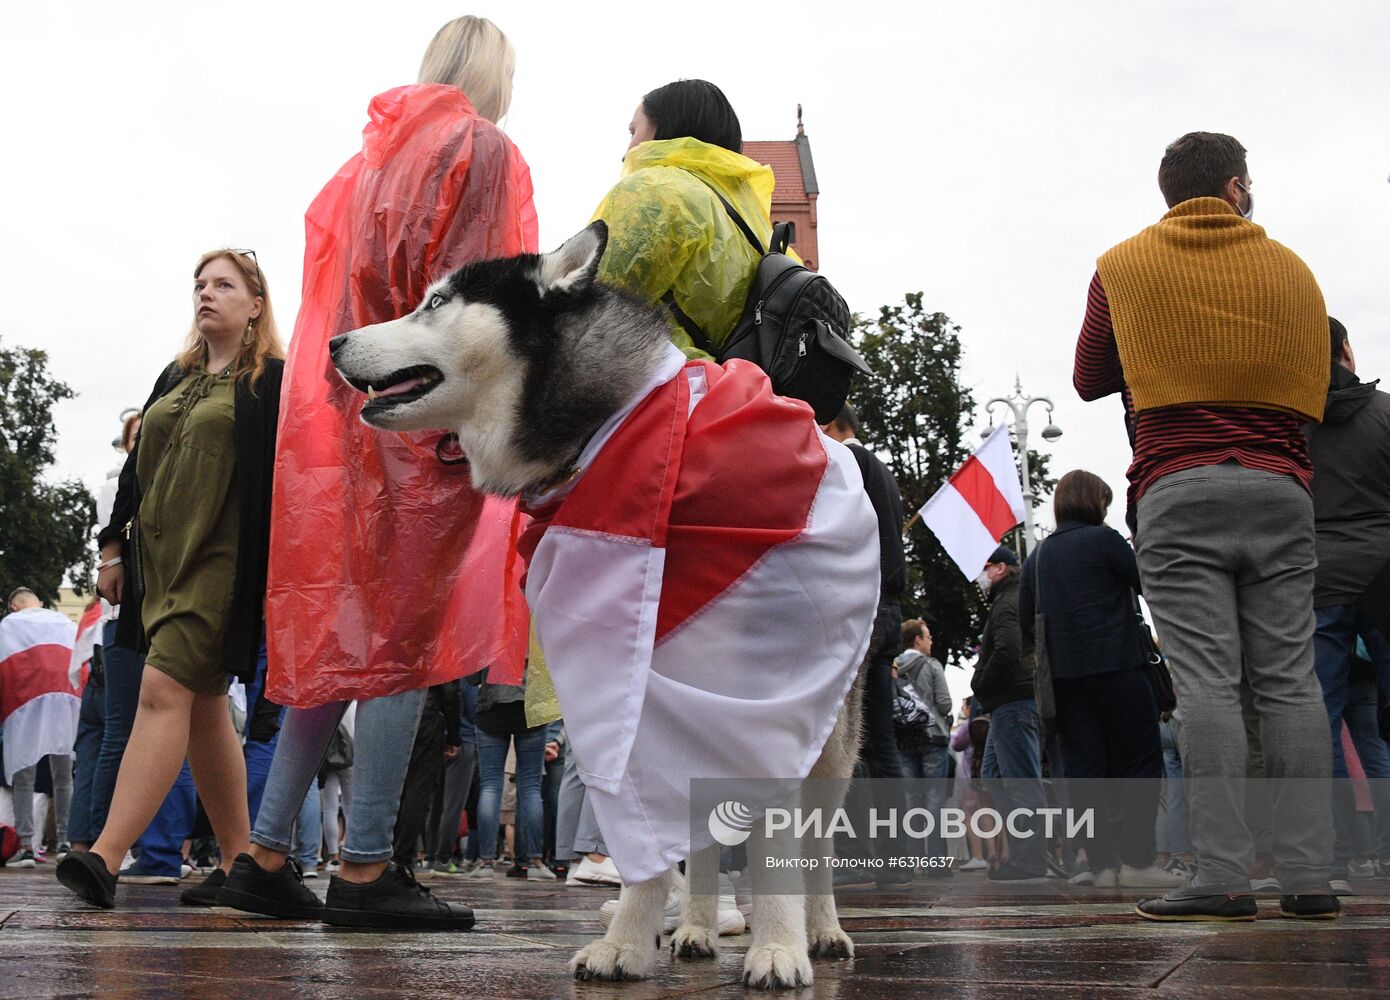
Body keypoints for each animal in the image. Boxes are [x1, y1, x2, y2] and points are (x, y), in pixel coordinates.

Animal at [328, 222, 867, 990]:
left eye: (435, 302)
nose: (335, 343)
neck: (608, 434)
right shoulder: (632, 688)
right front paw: (629, 943)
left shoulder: (776, 692)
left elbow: (777, 843)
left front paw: (778, 948)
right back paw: (697, 927)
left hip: (831, 734)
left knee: (815, 843)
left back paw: (819, 930)